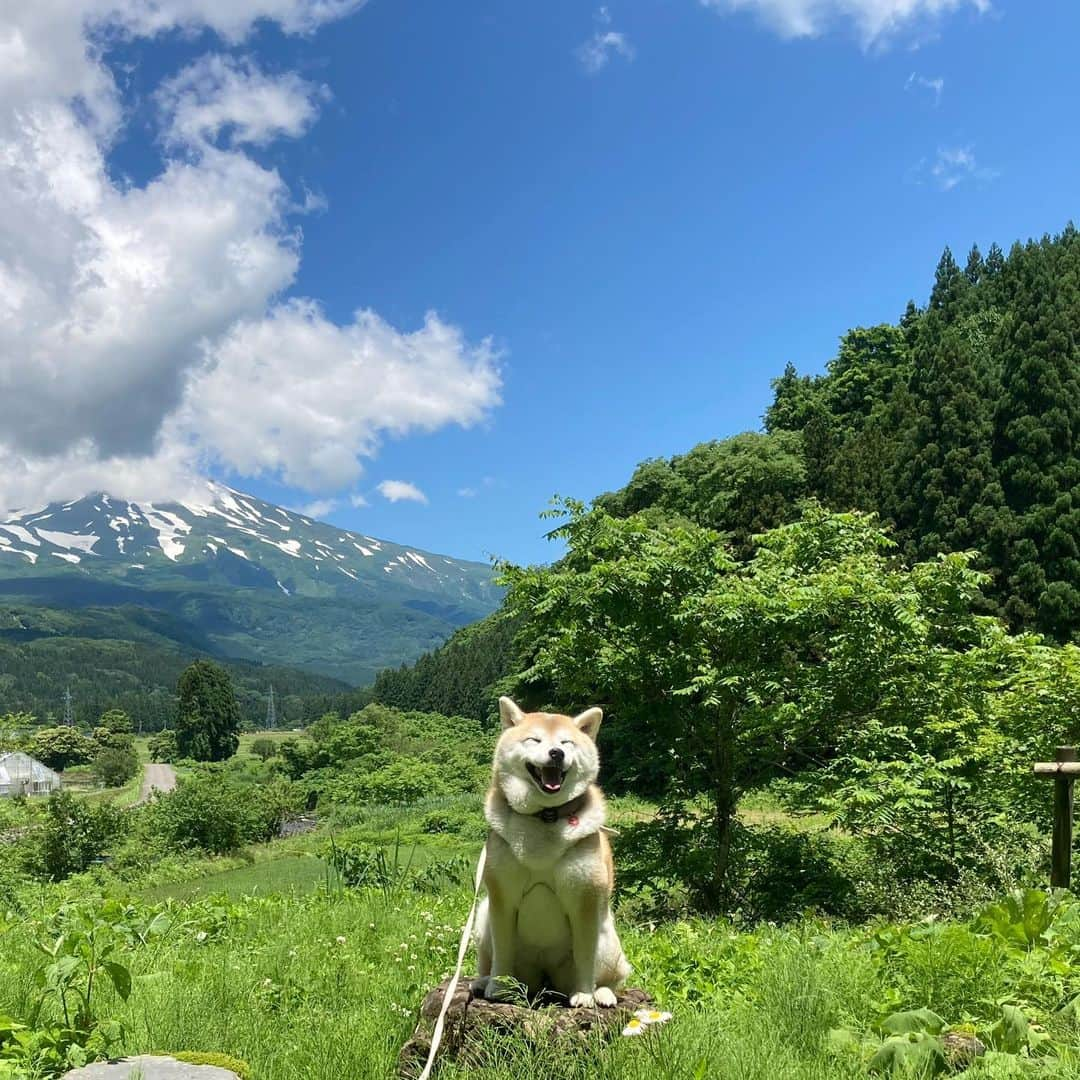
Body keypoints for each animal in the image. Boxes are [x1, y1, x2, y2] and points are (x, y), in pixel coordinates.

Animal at [473, 695, 630, 1006]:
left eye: (567, 742)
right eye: (534, 740)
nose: (556, 753)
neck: (544, 817)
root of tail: (545, 980)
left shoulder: (585, 899)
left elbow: (585, 956)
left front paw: (584, 994)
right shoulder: (501, 898)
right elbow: (502, 951)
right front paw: (498, 987)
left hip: (608, 938)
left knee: (611, 978)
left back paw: (602, 993)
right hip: (484, 918)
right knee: (489, 962)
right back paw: (483, 982)